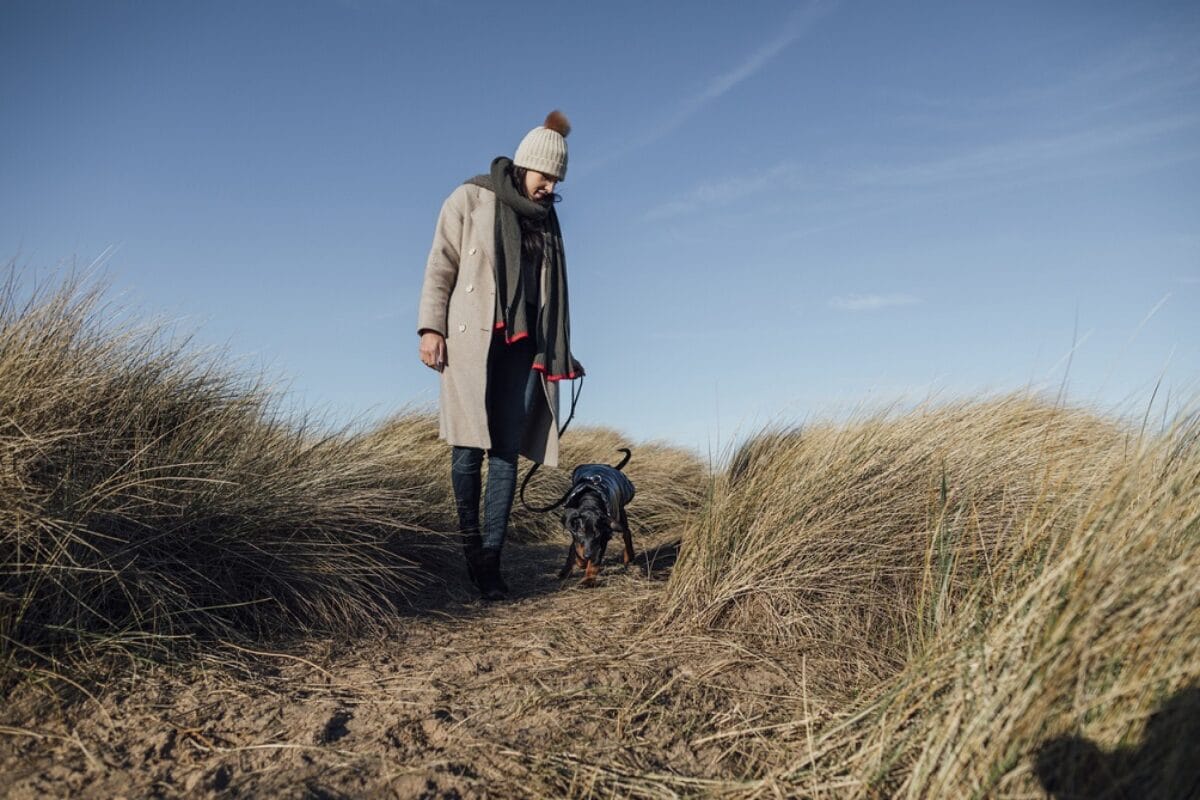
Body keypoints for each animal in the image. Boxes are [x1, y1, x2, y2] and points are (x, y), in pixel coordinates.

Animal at [559, 448, 638, 585]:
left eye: (597, 533)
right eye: (581, 531)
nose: (588, 555)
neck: (591, 499)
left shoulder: (604, 535)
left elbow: (596, 559)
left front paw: (588, 579)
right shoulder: (575, 534)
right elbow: (575, 548)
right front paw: (581, 562)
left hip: (620, 512)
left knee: (626, 532)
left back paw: (629, 555)